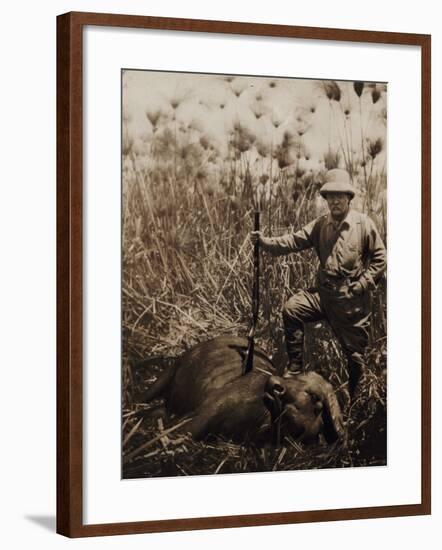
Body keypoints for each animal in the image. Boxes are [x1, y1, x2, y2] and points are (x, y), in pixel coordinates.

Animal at [140, 336, 344, 448]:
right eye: (290, 377)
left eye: (314, 395)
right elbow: (186, 430)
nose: (274, 383)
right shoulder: (207, 410)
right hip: (162, 379)